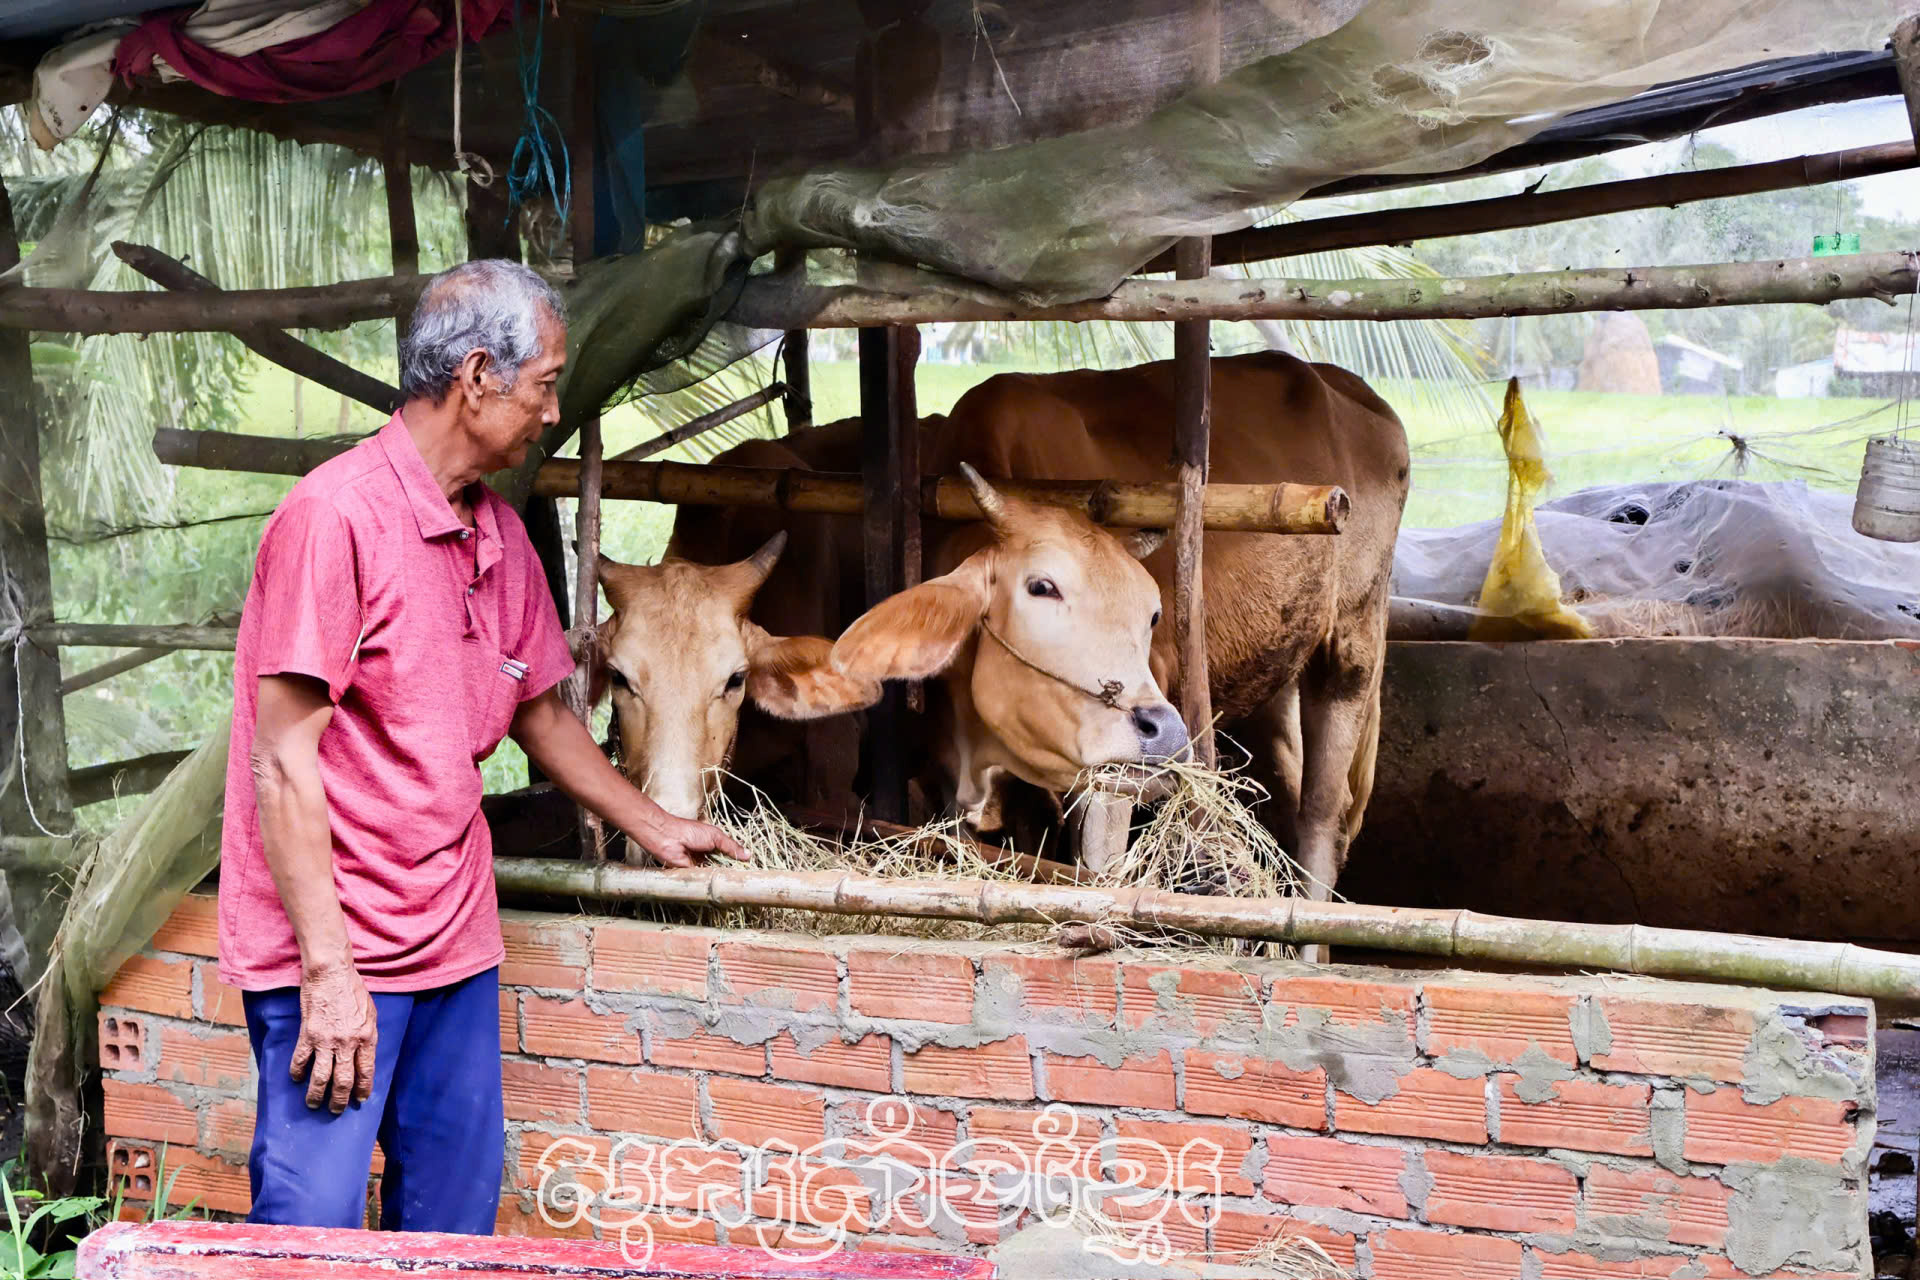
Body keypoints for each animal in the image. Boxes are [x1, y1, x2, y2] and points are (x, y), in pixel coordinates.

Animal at [829, 353, 1413, 901]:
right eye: (1042, 586)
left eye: (1154, 613)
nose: (1166, 732)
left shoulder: (1111, 772)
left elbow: (1099, 867)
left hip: (1352, 646)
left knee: (1324, 812)